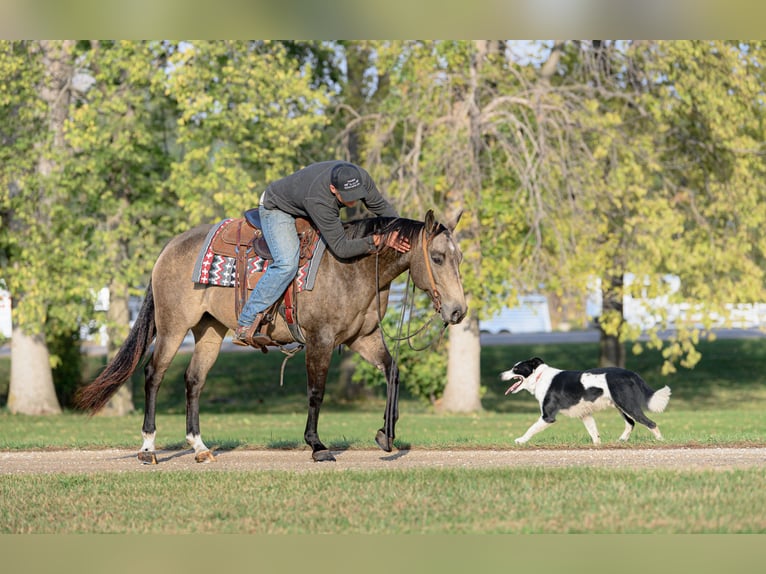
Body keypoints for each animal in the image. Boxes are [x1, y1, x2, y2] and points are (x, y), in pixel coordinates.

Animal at [77, 210, 467, 463]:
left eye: (459, 257)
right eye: (437, 257)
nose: (458, 311)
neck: (350, 267)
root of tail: (169, 247)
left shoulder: (364, 338)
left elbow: (392, 373)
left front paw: (386, 434)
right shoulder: (320, 339)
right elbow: (316, 392)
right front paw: (317, 446)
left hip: (209, 330)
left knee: (193, 380)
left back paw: (200, 448)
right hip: (173, 326)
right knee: (154, 375)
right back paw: (148, 449)